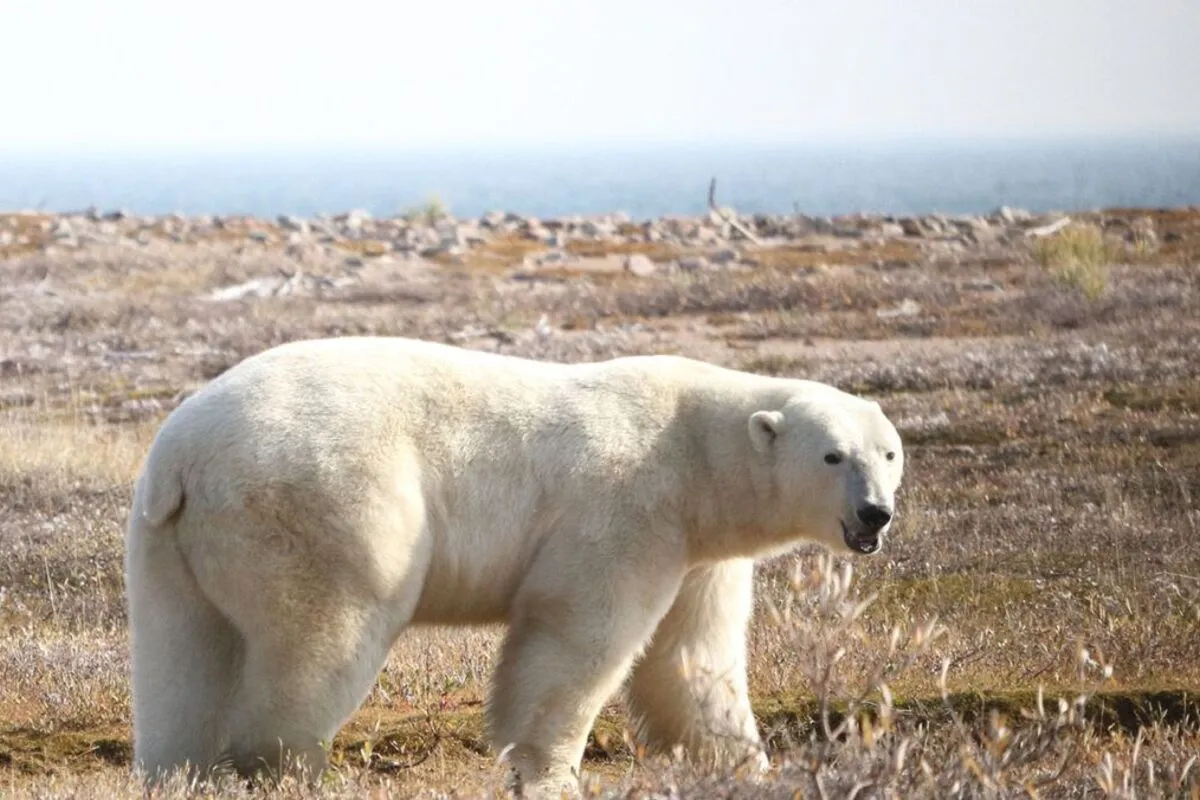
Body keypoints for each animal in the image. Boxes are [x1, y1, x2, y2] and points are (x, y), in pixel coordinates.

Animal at [126, 335, 902, 796]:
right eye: (833, 455)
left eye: (889, 452)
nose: (875, 514)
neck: (694, 451)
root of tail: (184, 457)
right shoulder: (626, 507)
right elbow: (578, 637)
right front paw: (549, 773)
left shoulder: (700, 550)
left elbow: (692, 658)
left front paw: (746, 765)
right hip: (323, 504)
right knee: (322, 634)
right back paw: (292, 768)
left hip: (168, 543)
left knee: (182, 657)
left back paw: (177, 770)